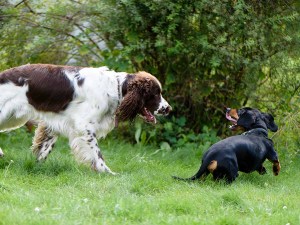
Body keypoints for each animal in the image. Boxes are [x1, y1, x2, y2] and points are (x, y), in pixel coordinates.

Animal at [0, 64, 171, 173]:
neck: (114, 88)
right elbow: (97, 154)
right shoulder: (84, 126)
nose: (169, 108)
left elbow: (44, 149)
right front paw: (107, 172)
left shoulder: (54, 123)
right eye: (155, 93)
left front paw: (37, 166)